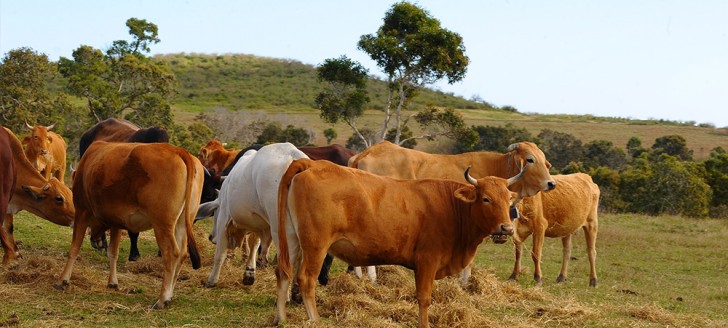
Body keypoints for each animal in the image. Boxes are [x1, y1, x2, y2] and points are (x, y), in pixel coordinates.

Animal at [55, 140, 203, 308]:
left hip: (162, 224)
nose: (95, 240)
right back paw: (169, 296)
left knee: (172, 253)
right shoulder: (117, 222)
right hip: (182, 223)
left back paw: (162, 299)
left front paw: (62, 280)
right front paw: (112, 282)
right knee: (183, 253)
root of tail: (177, 150)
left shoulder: (82, 210)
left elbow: (74, 248)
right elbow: (113, 252)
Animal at [196, 142, 308, 286]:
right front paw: (249, 271)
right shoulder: (259, 223)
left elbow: (220, 253)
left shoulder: (224, 219)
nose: (211, 237)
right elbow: (254, 245)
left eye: (215, 211)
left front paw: (212, 280)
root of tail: (296, 158)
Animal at [276, 158, 520, 326]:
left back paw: (281, 318)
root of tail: (312, 163)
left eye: (509, 199)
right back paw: (315, 320)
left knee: (283, 273)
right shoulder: (427, 262)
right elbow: (424, 298)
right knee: (306, 279)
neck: (451, 206)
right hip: (316, 245)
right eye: (486, 199)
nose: (506, 229)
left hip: (291, 240)